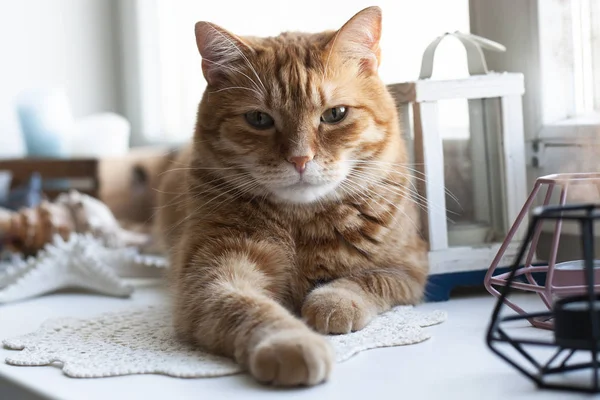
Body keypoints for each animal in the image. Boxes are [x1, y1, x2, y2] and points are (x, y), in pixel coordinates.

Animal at [155, 5, 426, 388]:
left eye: (335, 114)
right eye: (258, 118)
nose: (300, 159)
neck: (300, 225)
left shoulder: (411, 269)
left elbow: (368, 280)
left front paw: (334, 301)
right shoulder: (210, 277)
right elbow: (248, 308)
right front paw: (291, 342)